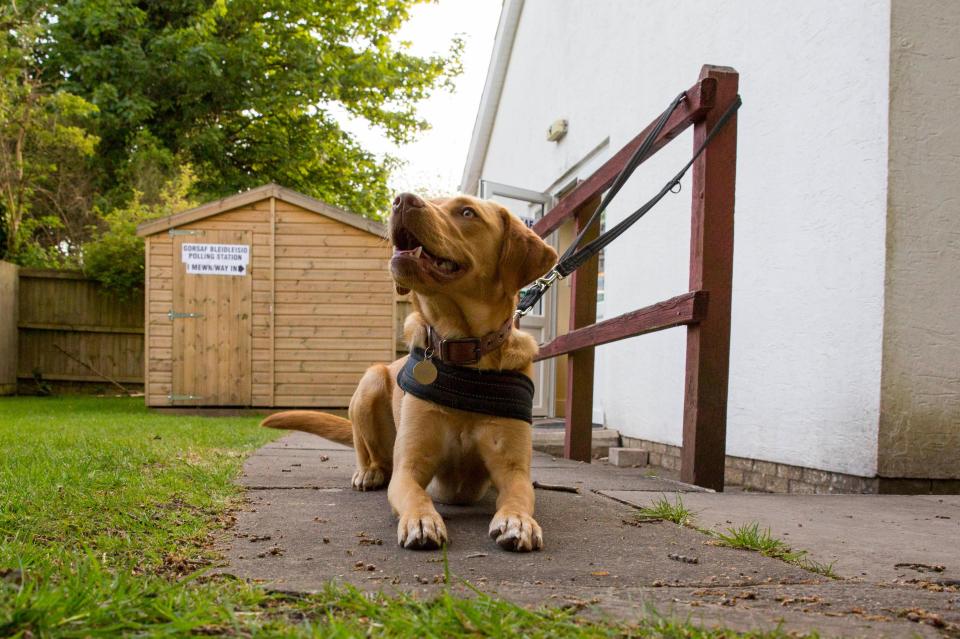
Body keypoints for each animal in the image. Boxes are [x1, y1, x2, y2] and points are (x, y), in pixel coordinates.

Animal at [262, 192, 556, 552]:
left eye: (467, 212)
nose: (402, 200)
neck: (463, 352)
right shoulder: (410, 466)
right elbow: (416, 494)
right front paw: (421, 519)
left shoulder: (513, 469)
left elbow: (518, 496)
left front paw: (518, 521)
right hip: (371, 383)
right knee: (369, 453)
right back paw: (369, 472)